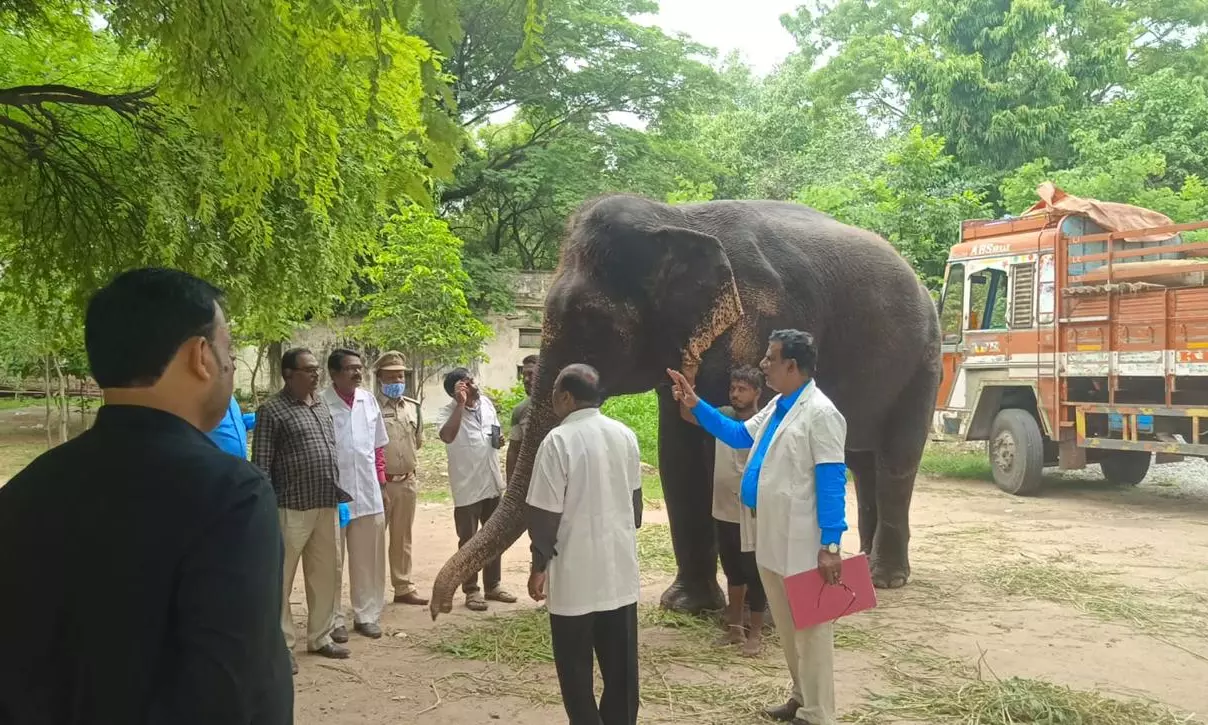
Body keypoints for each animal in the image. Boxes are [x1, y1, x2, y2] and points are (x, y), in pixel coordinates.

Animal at [429, 194, 942, 618]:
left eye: (590, 321)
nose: (439, 608)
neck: (677, 218)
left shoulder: (765, 323)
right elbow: (678, 451)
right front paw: (685, 607)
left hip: (926, 360)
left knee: (895, 461)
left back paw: (884, 578)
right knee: (862, 461)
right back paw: (862, 564)